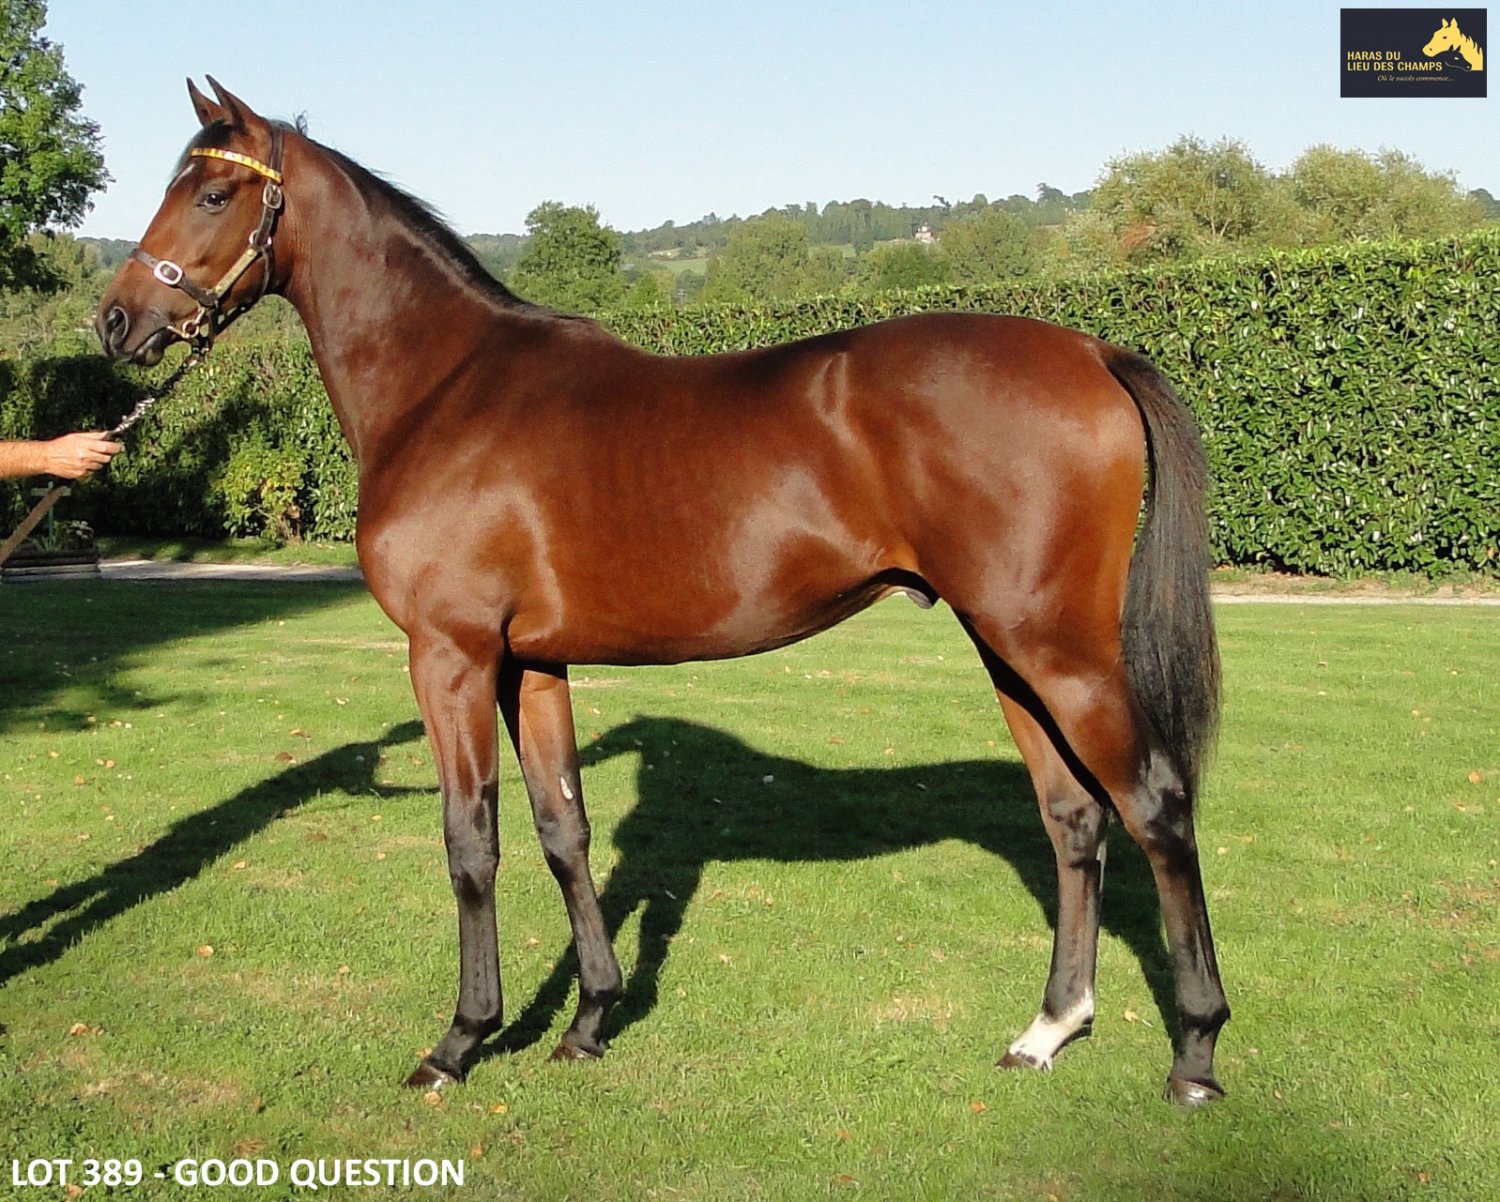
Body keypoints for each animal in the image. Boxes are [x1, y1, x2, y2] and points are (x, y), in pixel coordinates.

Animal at [96, 79, 1229, 1105]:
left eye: (211, 193)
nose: (116, 319)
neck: (448, 387)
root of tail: (1090, 346)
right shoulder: (532, 663)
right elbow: (564, 830)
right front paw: (590, 1020)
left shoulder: (451, 654)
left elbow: (471, 841)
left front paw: (461, 1039)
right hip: (1010, 650)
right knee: (1072, 819)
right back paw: (1049, 1029)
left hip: (1060, 651)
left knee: (1156, 808)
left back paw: (1196, 1053)